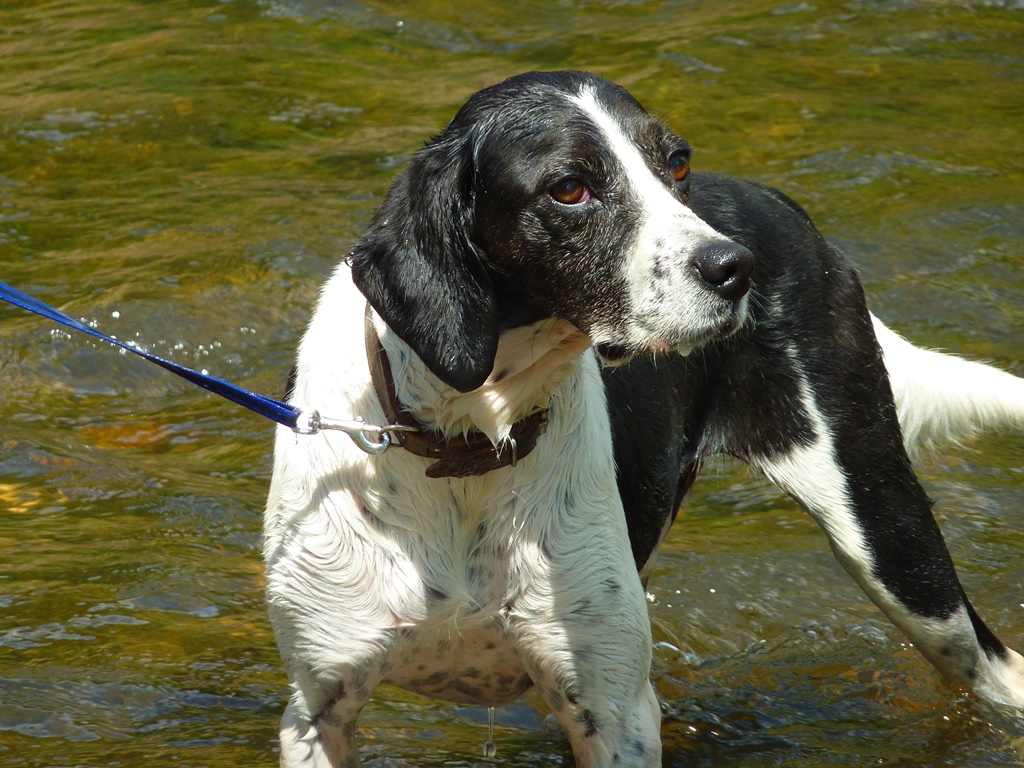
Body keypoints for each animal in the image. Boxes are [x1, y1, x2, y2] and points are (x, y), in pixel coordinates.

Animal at [264, 69, 1024, 765]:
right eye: (570, 187)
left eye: (676, 161)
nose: (735, 267)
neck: (471, 440)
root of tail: (777, 204)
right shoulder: (318, 709)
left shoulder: (614, 708)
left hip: (891, 541)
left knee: (997, 667)